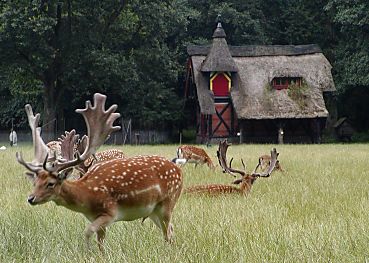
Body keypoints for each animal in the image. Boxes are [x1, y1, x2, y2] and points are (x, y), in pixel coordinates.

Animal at [16, 94, 183, 252]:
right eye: (35, 182)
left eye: (50, 183)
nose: (31, 198)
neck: (86, 196)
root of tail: (179, 170)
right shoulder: (96, 219)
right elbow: (100, 242)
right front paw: (100, 254)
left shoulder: (110, 212)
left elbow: (87, 232)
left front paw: (88, 252)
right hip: (153, 211)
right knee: (171, 229)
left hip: (168, 202)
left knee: (168, 231)